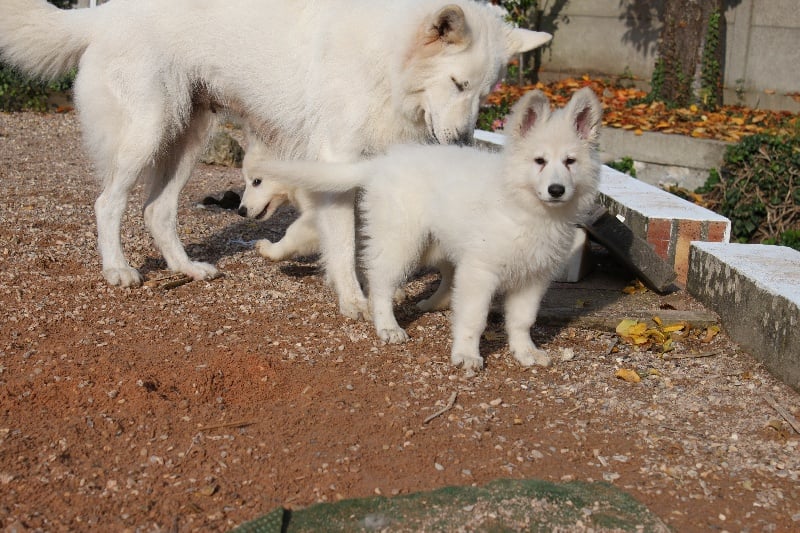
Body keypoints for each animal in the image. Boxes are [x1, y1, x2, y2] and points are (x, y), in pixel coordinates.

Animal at [253, 88, 604, 370]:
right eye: (539, 161)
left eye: (570, 162)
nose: (557, 190)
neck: (526, 208)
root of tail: (383, 162)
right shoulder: (481, 271)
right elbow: (474, 318)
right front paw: (467, 355)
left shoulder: (534, 278)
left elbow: (522, 320)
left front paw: (525, 351)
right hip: (402, 241)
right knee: (380, 284)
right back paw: (387, 326)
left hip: (436, 243)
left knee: (446, 277)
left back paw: (434, 304)